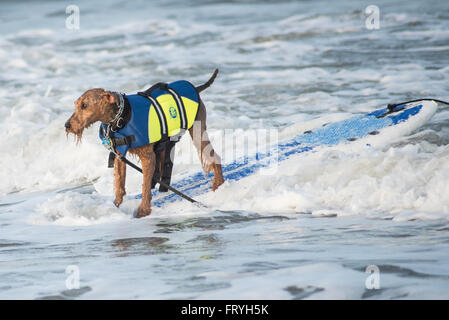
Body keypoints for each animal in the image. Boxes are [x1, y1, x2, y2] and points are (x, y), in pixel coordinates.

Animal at [65, 70, 224, 218]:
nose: (67, 125)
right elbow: (120, 184)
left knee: (215, 157)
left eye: (84, 105)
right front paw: (116, 205)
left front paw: (143, 210)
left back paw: (219, 185)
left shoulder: (147, 157)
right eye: (76, 105)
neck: (121, 117)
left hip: (198, 134)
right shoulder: (120, 156)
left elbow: (145, 187)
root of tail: (196, 88)